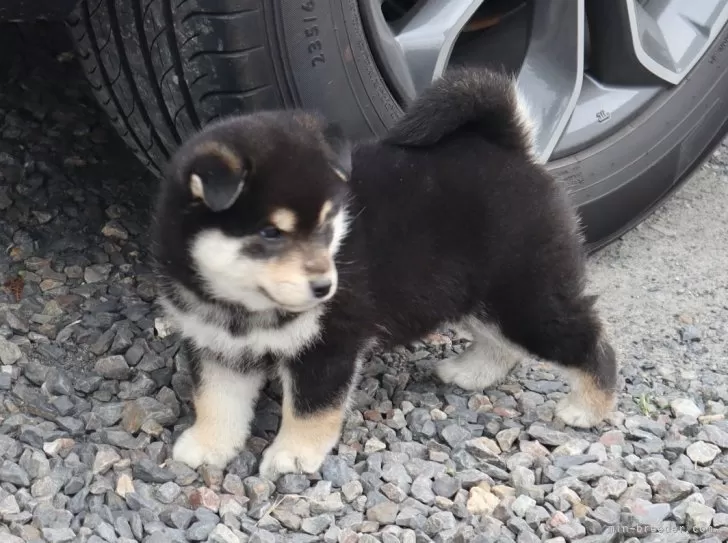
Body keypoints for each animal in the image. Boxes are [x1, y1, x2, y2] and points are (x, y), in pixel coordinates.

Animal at [152, 69, 616, 480]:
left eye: (327, 223)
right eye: (270, 233)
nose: (325, 287)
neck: (242, 306)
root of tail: (512, 149)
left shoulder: (327, 347)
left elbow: (309, 409)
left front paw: (293, 454)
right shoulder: (216, 346)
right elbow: (216, 400)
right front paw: (208, 444)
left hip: (524, 295)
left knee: (591, 342)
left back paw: (588, 407)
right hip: (475, 298)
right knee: (502, 344)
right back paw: (473, 372)